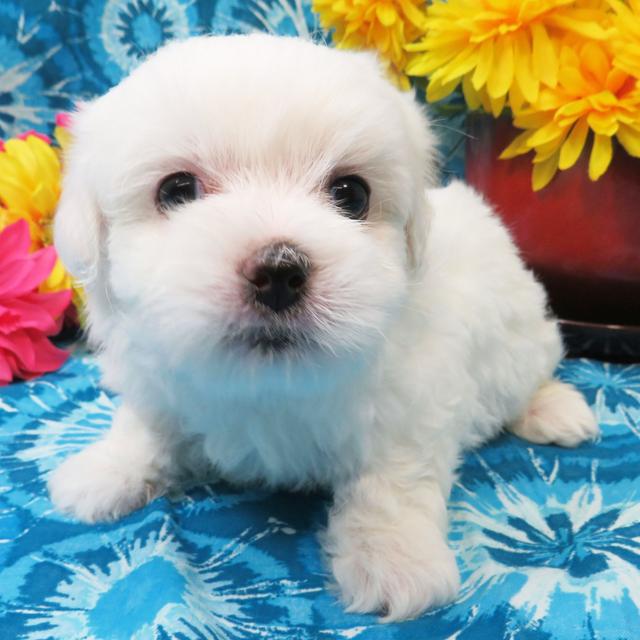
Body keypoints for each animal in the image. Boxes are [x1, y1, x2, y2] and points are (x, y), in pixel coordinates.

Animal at [47, 33, 596, 620]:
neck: (265, 385)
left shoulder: (409, 407)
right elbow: (146, 428)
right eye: (176, 190)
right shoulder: (159, 382)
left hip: (519, 336)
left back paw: (554, 409)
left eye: (351, 194)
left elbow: (390, 481)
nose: (279, 272)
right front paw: (105, 471)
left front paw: (394, 558)